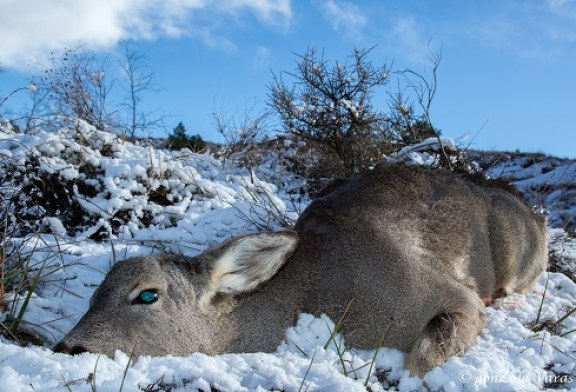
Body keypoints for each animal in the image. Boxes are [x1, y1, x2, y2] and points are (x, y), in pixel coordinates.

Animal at [51, 163, 548, 376]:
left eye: (147, 294)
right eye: (93, 295)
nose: (66, 348)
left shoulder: (446, 294)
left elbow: (425, 357)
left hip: (517, 257)